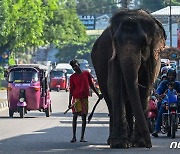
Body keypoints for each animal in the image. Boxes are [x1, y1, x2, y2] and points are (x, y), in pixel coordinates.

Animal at [91, 9, 166, 148]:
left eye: (144, 42)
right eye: (115, 41)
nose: (149, 145)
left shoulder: (152, 60)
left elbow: (145, 88)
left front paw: (139, 143)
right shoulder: (113, 56)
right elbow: (116, 86)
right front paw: (119, 144)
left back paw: (130, 140)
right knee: (110, 100)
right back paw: (114, 140)